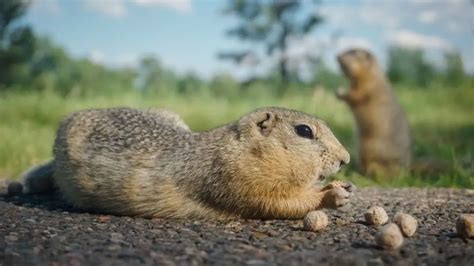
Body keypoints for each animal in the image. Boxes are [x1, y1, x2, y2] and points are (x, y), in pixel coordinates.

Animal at [20, 107, 354, 219]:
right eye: (304, 131)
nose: (346, 159)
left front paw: (343, 187)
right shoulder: (236, 179)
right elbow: (278, 203)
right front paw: (332, 194)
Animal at [336, 48, 412, 177]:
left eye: (355, 53)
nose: (337, 56)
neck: (372, 73)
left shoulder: (367, 85)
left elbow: (356, 95)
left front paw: (340, 91)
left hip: (370, 148)